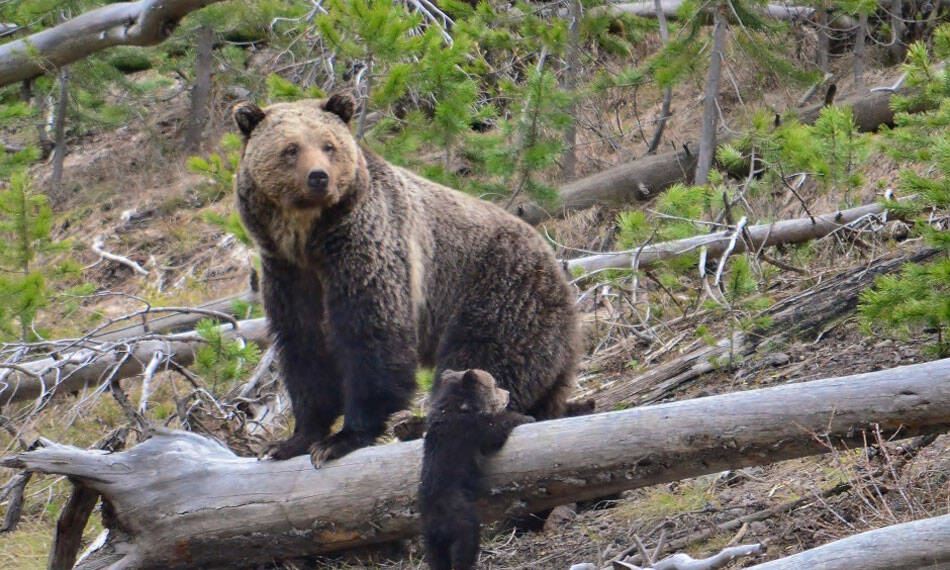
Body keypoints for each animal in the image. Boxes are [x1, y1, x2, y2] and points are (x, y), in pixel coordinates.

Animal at [232, 94, 578, 466]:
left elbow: (371, 336)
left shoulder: (366, 247)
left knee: (482, 360)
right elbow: (304, 346)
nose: (319, 177)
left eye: (328, 145)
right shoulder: (287, 273)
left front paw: (343, 438)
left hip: (501, 291)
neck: (308, 239)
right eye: (291, 148)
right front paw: (292, 440)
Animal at [419, 369, 533, 570]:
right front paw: (525, 417)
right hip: (460, 517)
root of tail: (436, 522)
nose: (508, 393)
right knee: (465, 544)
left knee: (436, 558)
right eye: (495, 384)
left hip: (430, 537)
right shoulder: (471, 429)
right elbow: (495, 431)